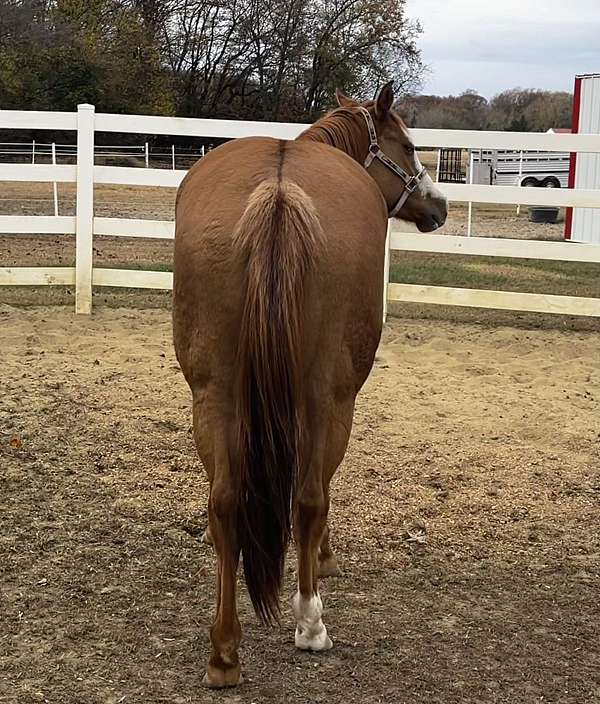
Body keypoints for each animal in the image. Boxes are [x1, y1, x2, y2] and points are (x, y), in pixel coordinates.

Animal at [172, 82, 446, 688]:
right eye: (410, 145)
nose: (437, 205)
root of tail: (279, 192)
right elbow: (317, 495)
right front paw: (321, 562)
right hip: (329, 400)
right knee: (309, 496)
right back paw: (310, 623)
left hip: (215, 393)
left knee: (224, 503)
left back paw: (224, 653)